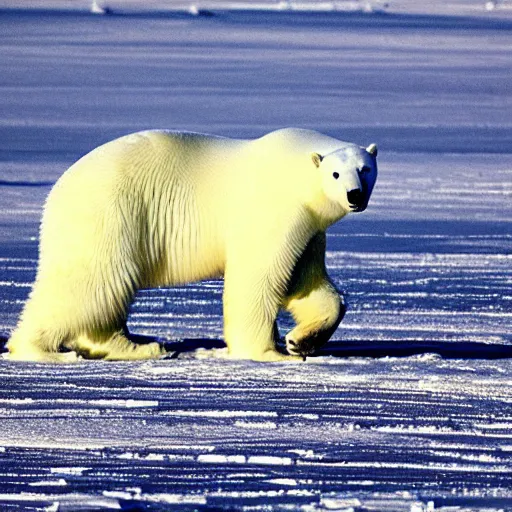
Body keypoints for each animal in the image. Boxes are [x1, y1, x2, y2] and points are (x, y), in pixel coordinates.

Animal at [6, 130, 378, 362]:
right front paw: (267, 352)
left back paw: (142, 346)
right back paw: (39, 349)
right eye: (335, 174)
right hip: (112, 214)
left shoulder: (309, 228)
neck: (293, 171)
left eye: (365, 169)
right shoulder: (271, 213)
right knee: (92, 283)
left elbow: (308, 283)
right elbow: (258, 278)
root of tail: (58, 190)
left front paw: (300, 341)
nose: (354, 195)